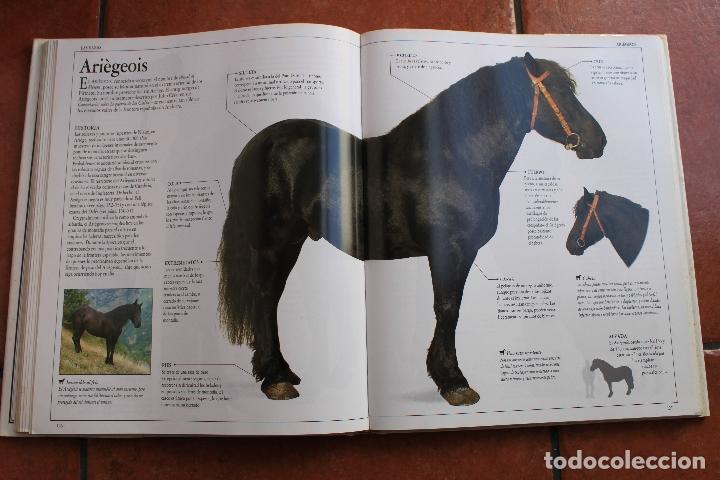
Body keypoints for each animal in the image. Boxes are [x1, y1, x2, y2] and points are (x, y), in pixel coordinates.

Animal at [218, 52, 606, 405]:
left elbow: (452, 308)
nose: (598, 141)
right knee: (265, 297)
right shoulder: (448, 249)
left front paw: (443, 374)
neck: (454, 158)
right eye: (561, 91)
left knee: (271, 298)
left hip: (292, 242)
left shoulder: (462, 253)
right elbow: (447, 309)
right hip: (273, 243)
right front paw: (454, 381)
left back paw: (281, 372)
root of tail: (255, 145)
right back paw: (275, 379)